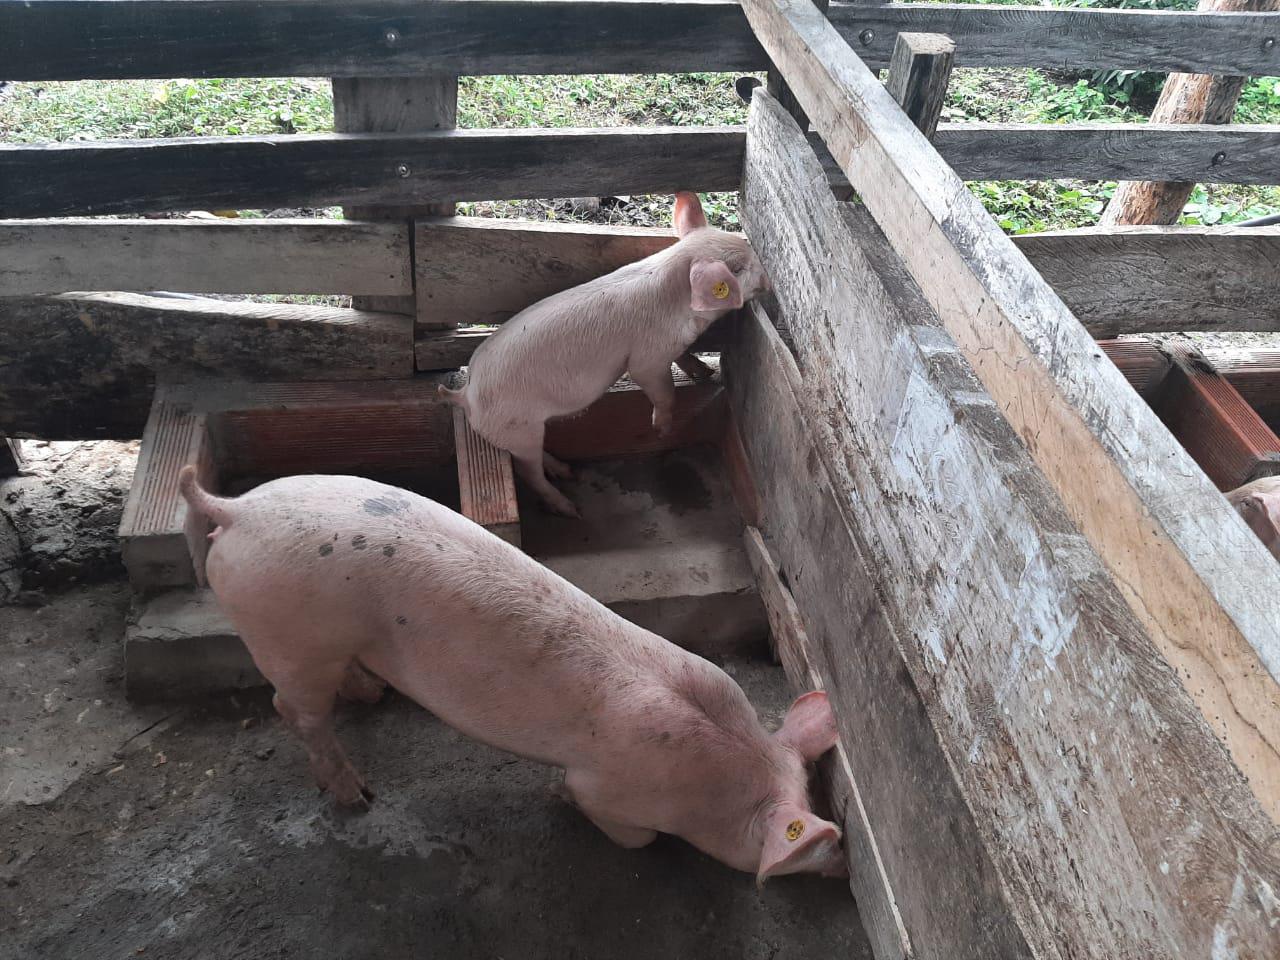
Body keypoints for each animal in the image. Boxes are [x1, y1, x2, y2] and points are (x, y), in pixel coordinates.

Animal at [178, 467, 847, 883]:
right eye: (813, 844)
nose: (844, 866)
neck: (724, 759)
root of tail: (237, 509)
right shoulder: (608, 787)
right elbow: (633, 835)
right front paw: (556, 797)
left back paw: (374, 694)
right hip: (289, 637)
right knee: (294, 712)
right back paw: (359, 796)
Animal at [440, 191, 771, 518]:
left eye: (746, 247)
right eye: (737, 270)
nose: (768, 281)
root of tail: (466, 394)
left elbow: (684, 357)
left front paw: (705, 372)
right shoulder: (647, 358)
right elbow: (663, 391)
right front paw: (662, 431)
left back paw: (567, 471)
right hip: (518, 428)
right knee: (526, 470)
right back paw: (570, 508)